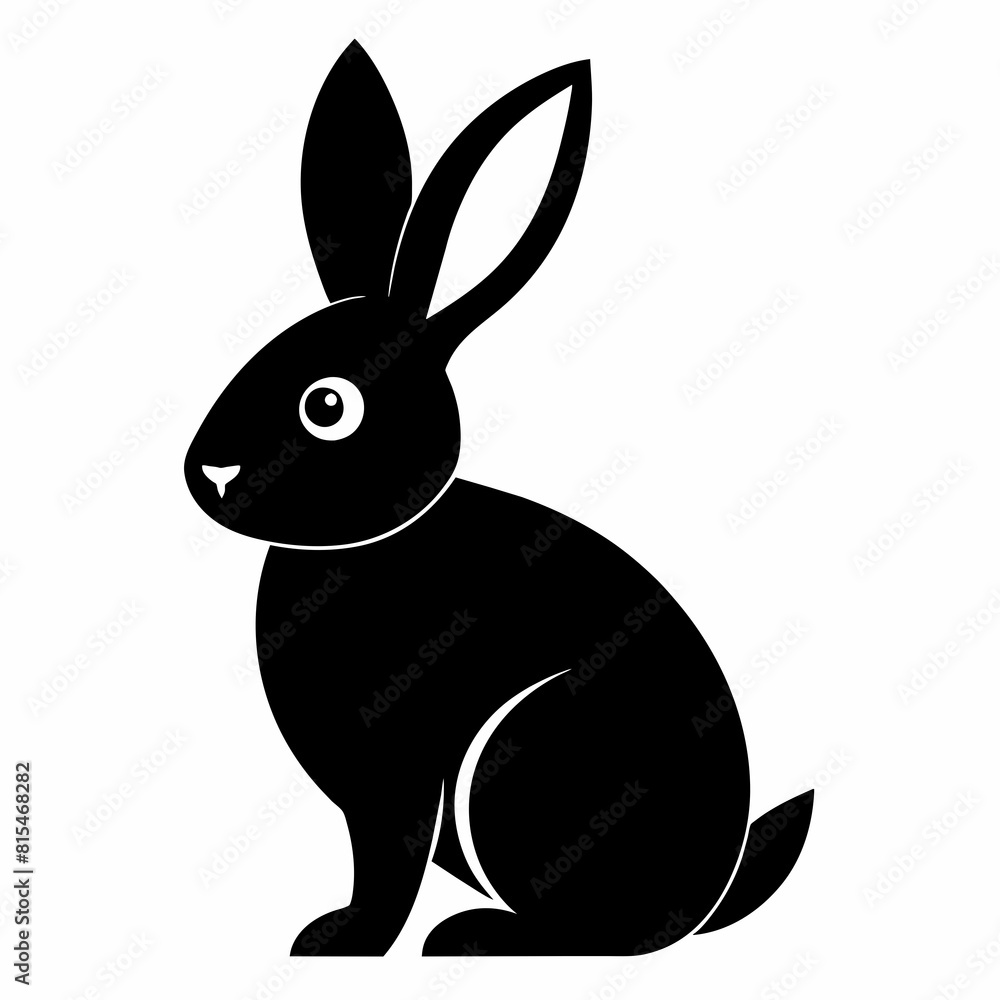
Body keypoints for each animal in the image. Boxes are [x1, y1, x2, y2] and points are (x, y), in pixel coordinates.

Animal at [184, 39, 814, 957]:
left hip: (526, 756)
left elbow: (389, 870)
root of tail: (705, 904)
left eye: (327, 405)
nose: (214, 475)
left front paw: (342, 944)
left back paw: (473, 937)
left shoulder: (398, 784)